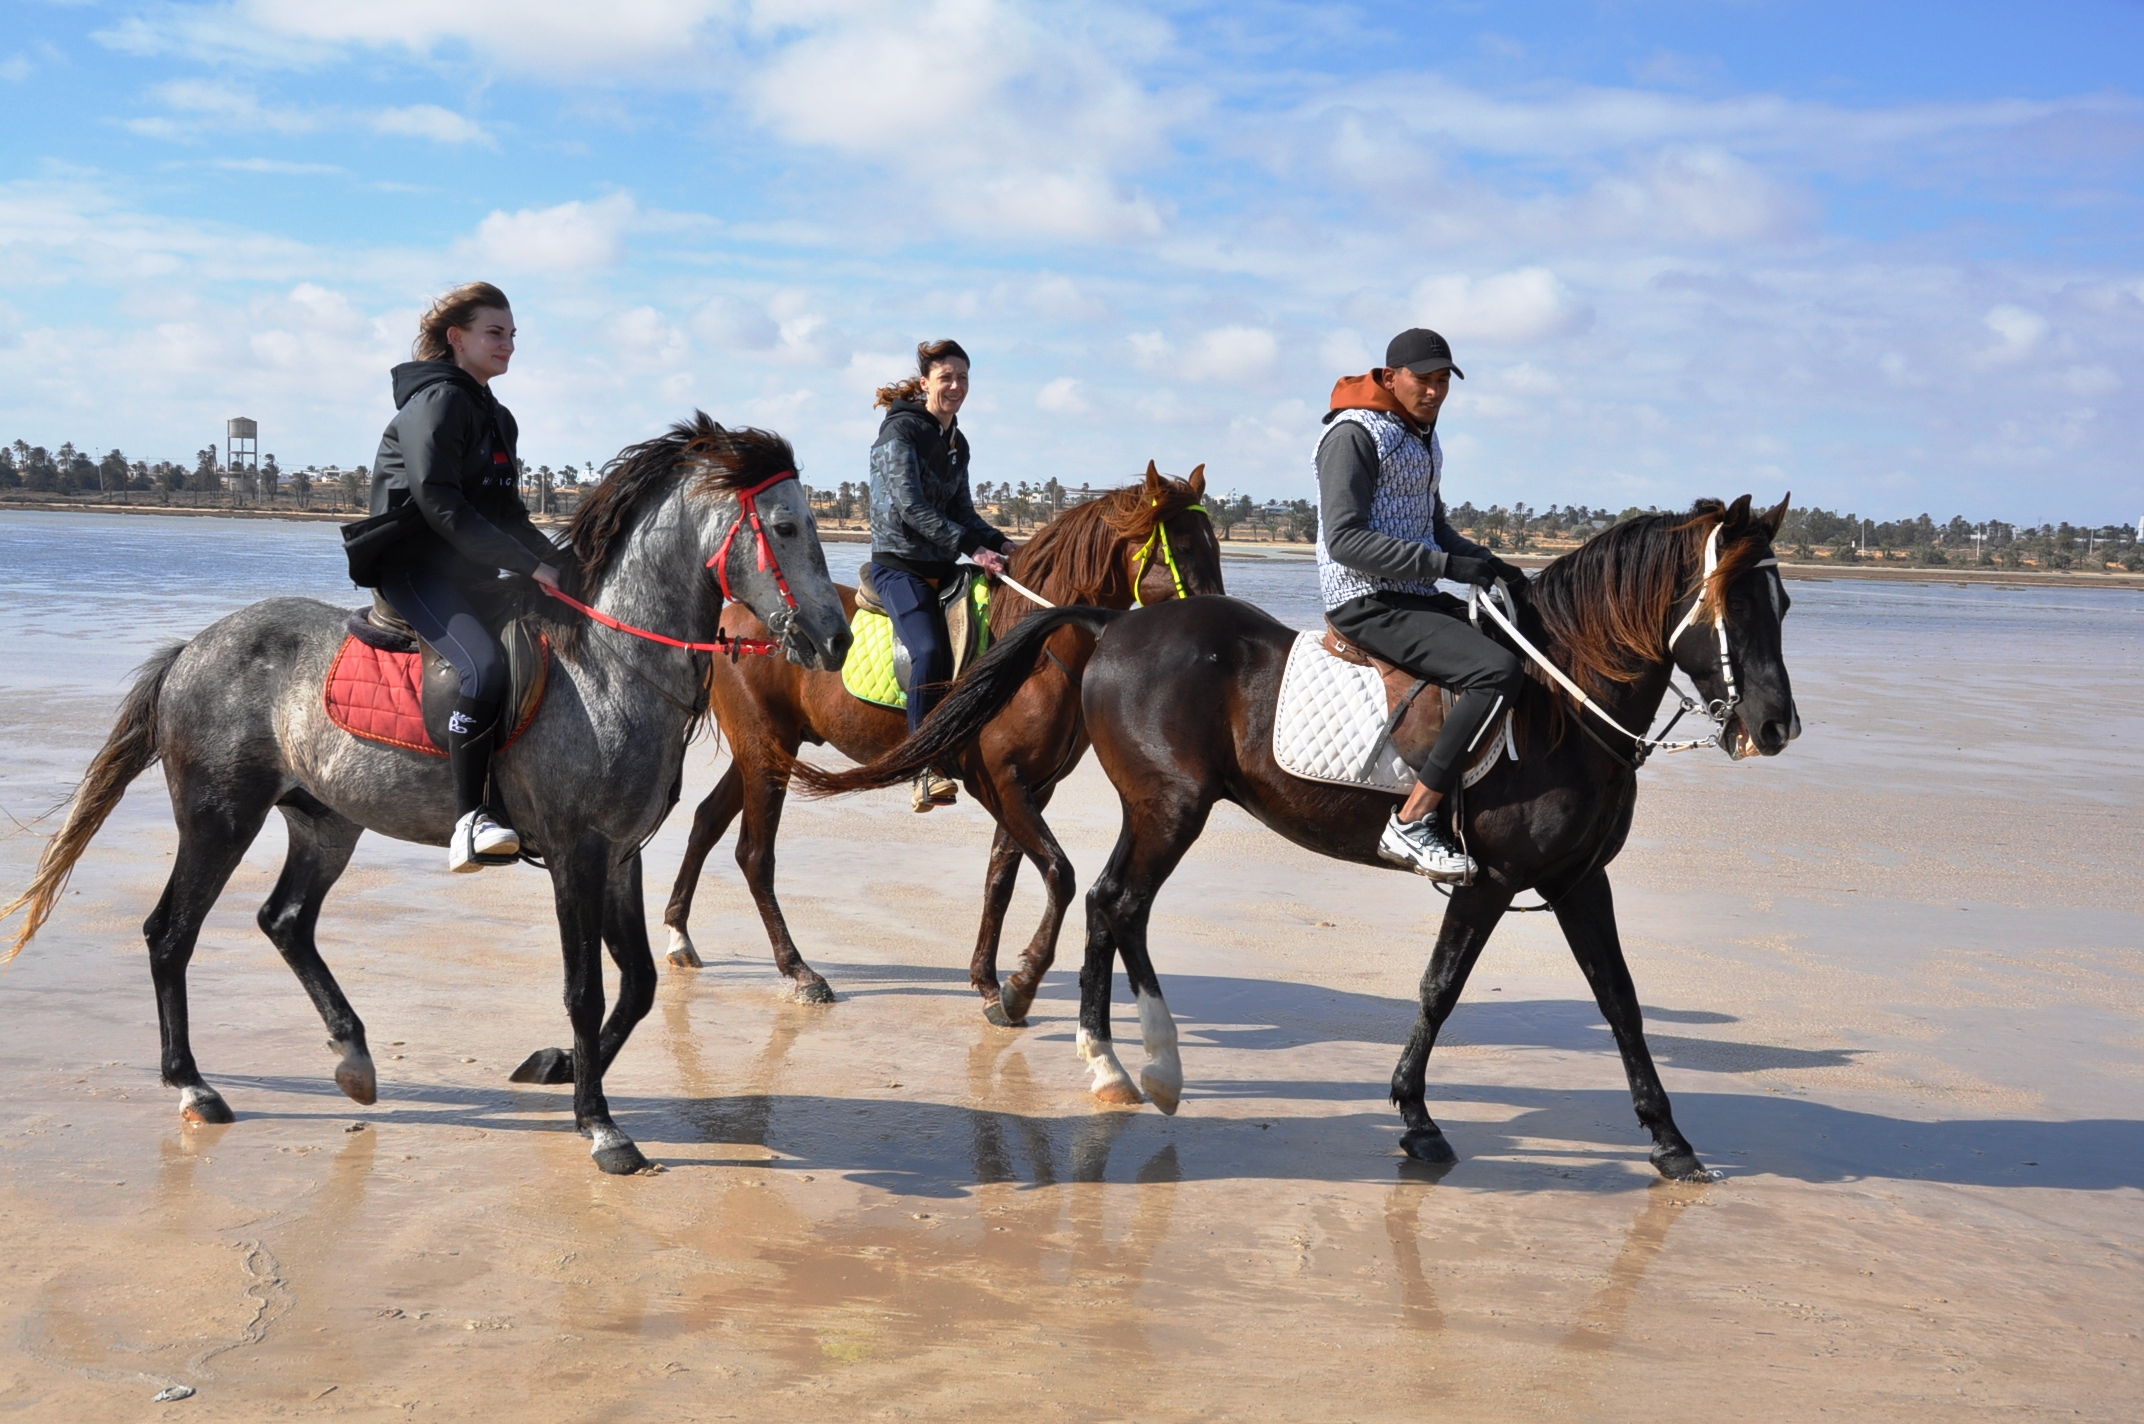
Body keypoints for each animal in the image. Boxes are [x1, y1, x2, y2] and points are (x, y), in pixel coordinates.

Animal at [0, 414, 851, 1175]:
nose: (836, 638)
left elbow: (638, 986)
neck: (610, 664)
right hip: (219, 816)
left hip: (325, 823)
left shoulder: (619, 853)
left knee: (284, 921)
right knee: (170, 933)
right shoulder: (574, 853)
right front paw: (600, 1124)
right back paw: (193, 1085)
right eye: (785, 525)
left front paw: (561, 1069)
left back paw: (352, 1055)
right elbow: (584, 989)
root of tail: (193, 649)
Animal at [658, 463, 1222, 1023]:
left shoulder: (1035, 787)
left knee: (706, 820)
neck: (1036, 649)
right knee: (755, 855)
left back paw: (679, 936)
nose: (1213, 620)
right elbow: (1059, 873)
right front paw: (1022, 983)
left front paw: (990, 983)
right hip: (764, 750)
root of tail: (731, 618)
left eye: (1214, 545)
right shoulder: (999, 781)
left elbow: (1001, 880)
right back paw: (800, 972)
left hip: (767, 749)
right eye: (1183, 546)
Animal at [791, 495, 1800, 1182]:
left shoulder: (1579, 880)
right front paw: (1417, 1119)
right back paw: (1123, 1063)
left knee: (1117, 907)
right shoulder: (1489, 881)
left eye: (1783, 606)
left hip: (1159, 809)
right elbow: (1439, 991)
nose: (1777, 725)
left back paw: (1135, 1063)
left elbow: (1622, 1003)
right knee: (1114, 902)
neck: (1559, 703)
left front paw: (1671, 1141)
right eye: (1732, 603)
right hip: (1172, 807)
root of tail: (1115, 622)